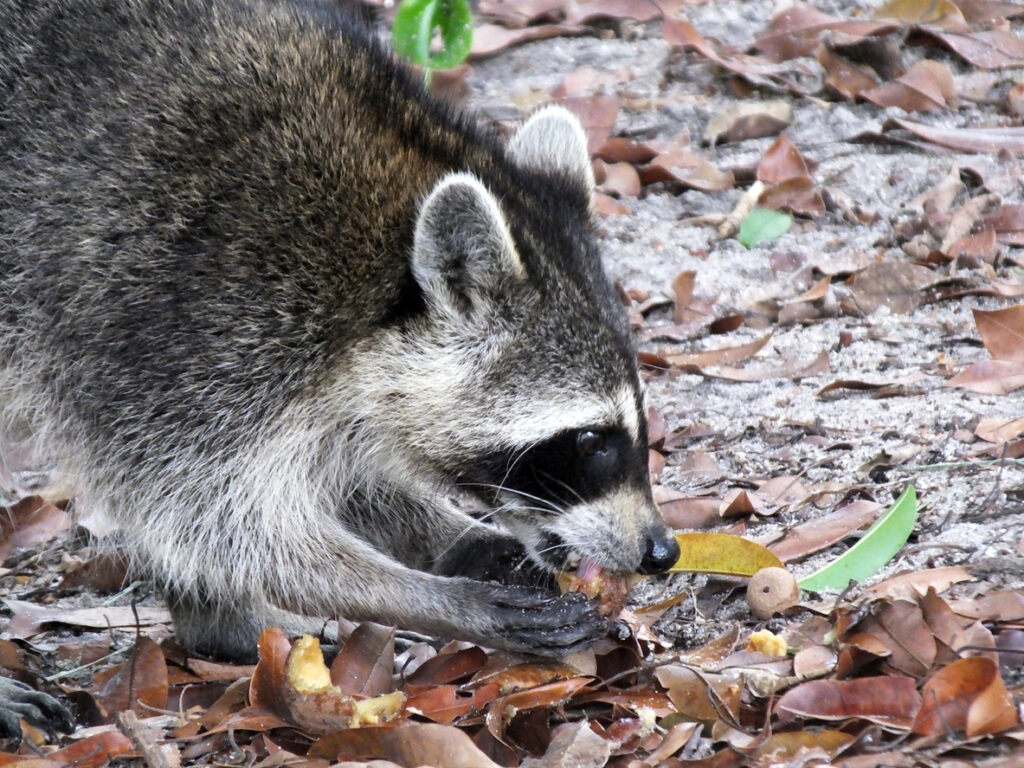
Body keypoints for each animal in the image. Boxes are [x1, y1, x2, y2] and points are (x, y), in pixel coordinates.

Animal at [0, 0, 679, 667]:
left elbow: (344, 466)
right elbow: (216, 524)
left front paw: (457, 537)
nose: (662, 550)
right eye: (589, 439)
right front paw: (430, 597)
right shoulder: (183, 336)